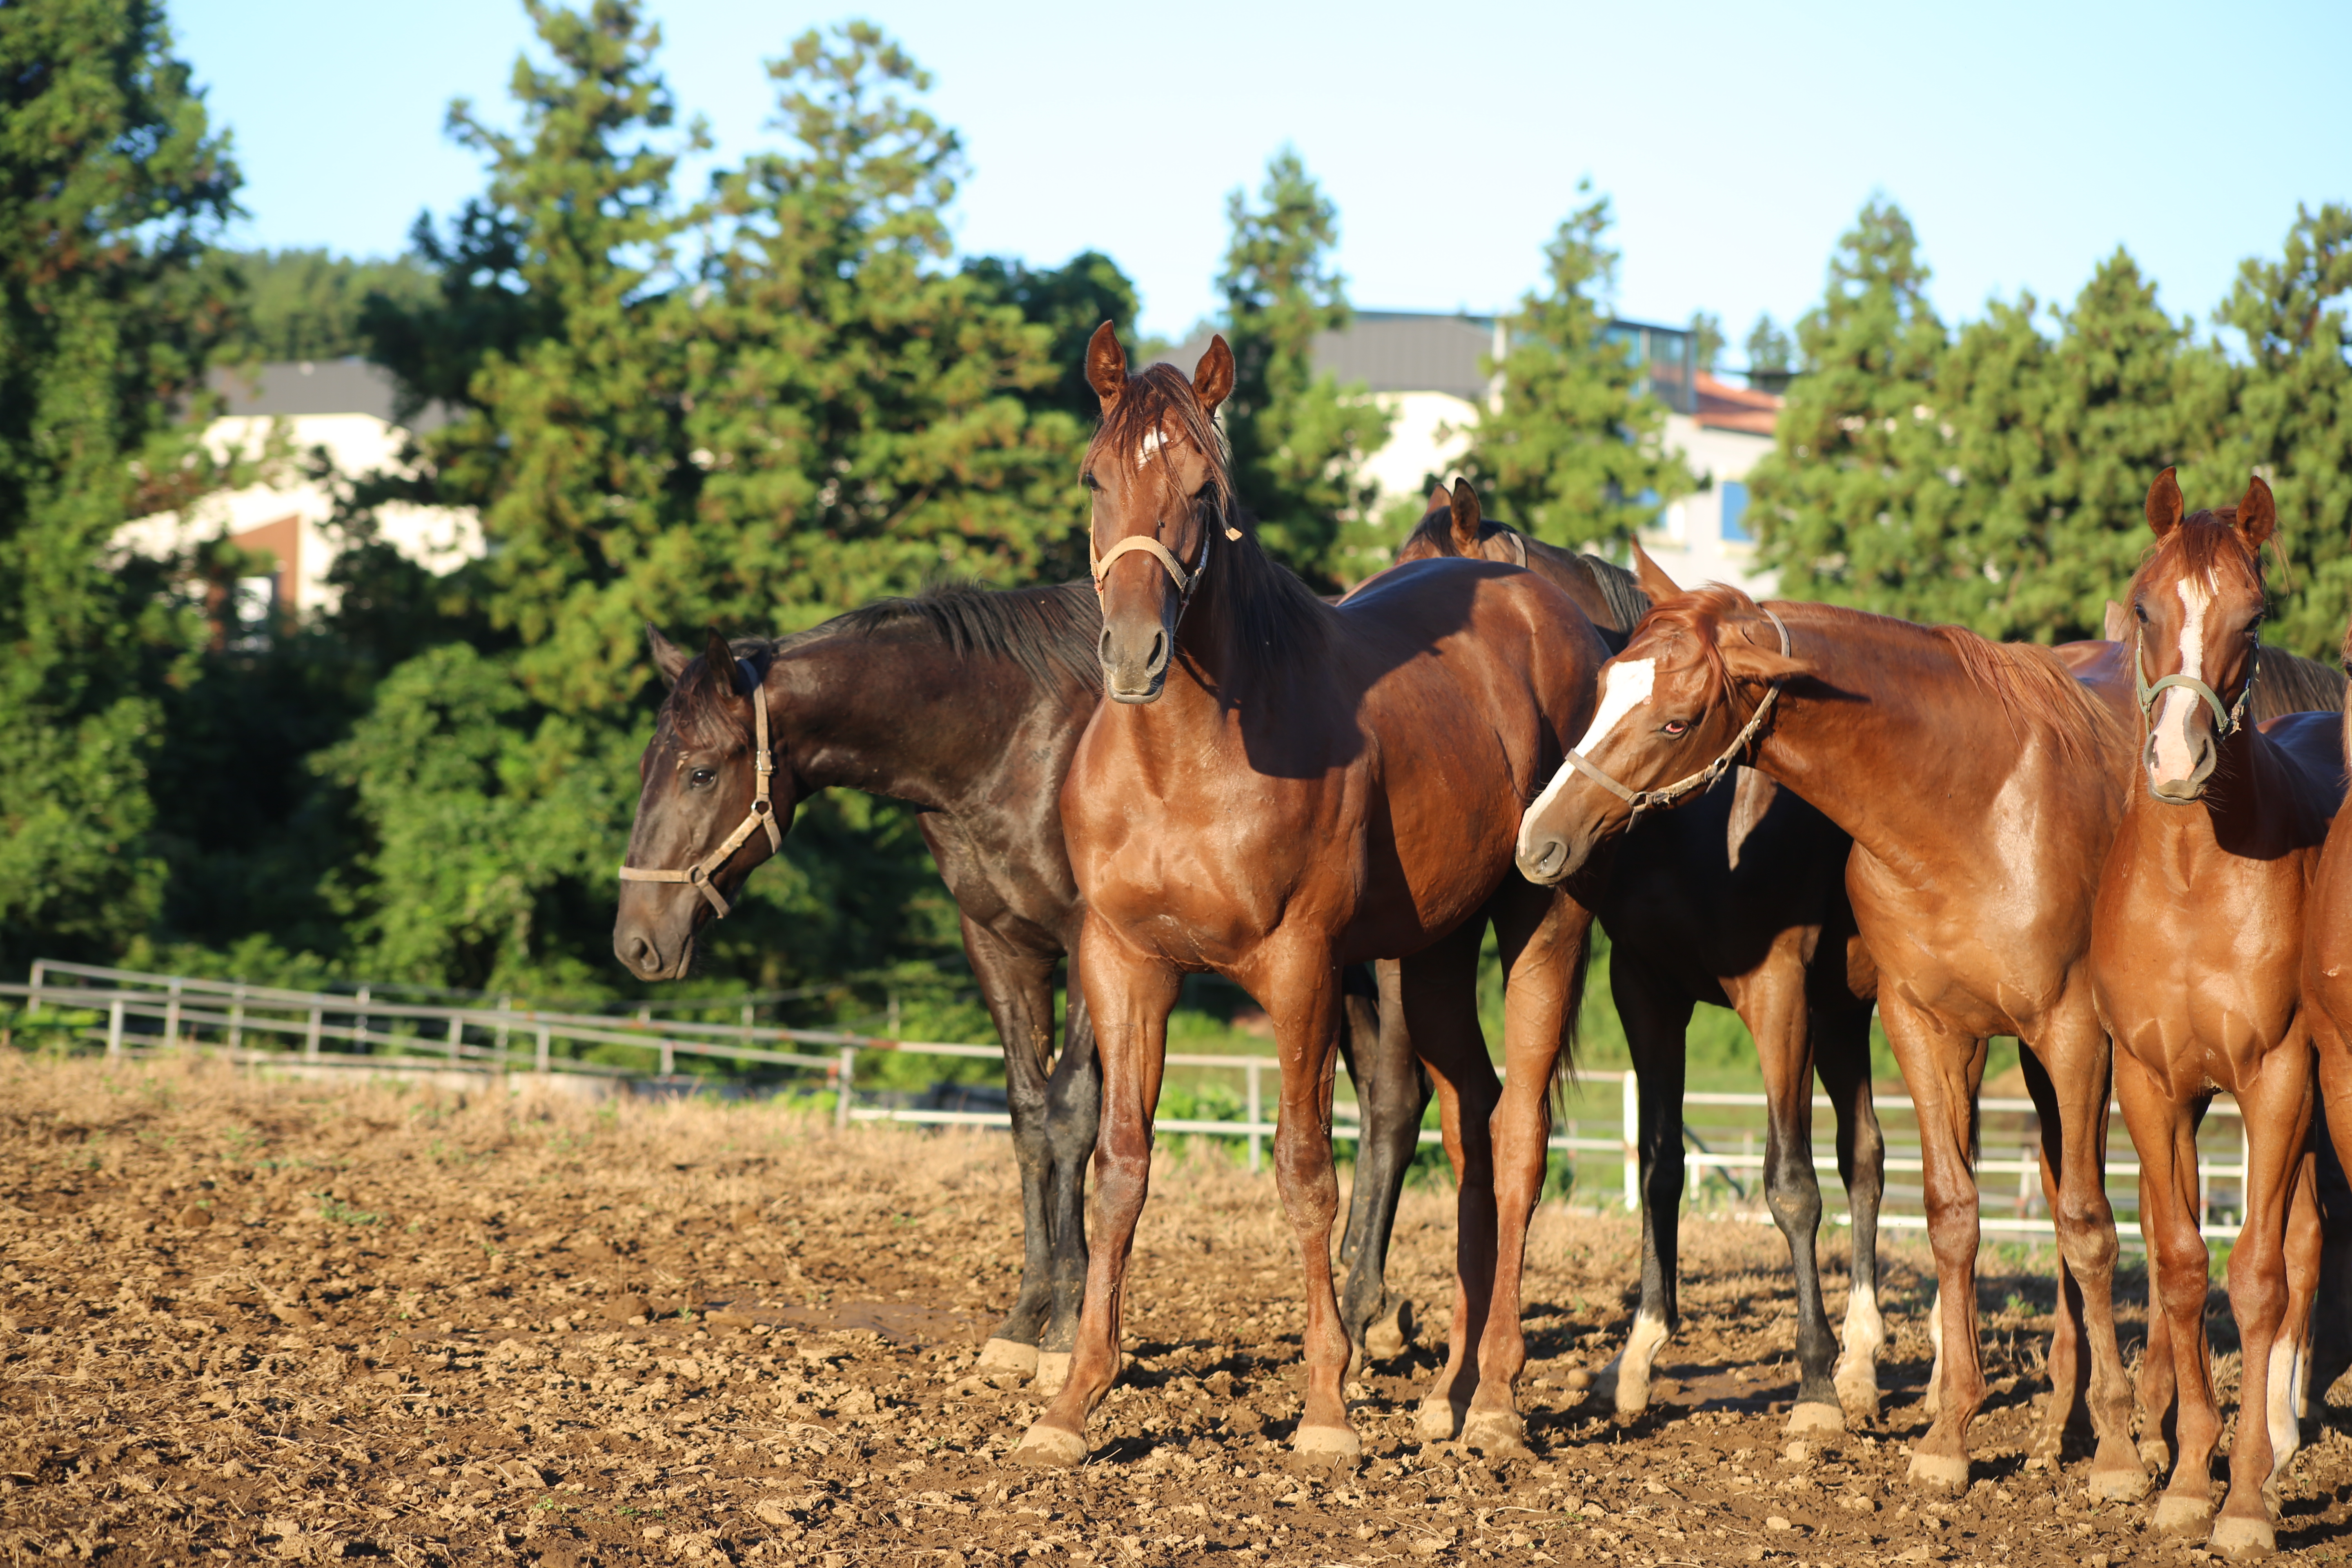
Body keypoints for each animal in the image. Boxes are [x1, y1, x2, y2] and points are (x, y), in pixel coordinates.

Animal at [607, 592, 1411, 1401]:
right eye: (645, 765)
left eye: (701, 773)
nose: (636, 943)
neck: (1010, 739)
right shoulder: (999, 947)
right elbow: (1028, 1122)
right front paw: (1026, 1319)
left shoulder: (1092, 943)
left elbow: (1073, 1117)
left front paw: (1065, 1328)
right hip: (1335, 970)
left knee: (1398, 1105)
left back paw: (1364, 1314)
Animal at [1020, 329, 1608, 1476]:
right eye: (1092, 477)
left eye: (1204, 489)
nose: (1134, 654)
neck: (1184, 764)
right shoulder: (1124, 965)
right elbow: (1120, 1170)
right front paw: (1073, 1401)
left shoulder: (1298, 968)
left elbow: (1304, 1173)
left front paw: (1327, 1407)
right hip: (1433, 956)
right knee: (1471, 1128)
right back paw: (1449, 1394)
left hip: (1542, 926)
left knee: (1518, 1138)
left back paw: (1498, 1399)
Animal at [1392, 486, 1891, 1439]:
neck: (1700, 825)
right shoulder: (1648, 995)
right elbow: (1661, 1169)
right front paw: (1636, 1360)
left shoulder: (1777, 996)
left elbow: (1790, 1185)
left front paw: (1812, 1388)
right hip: (1845, 1017)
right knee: (1870, 1156)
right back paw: (1865, 1353)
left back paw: (1864, 1363)